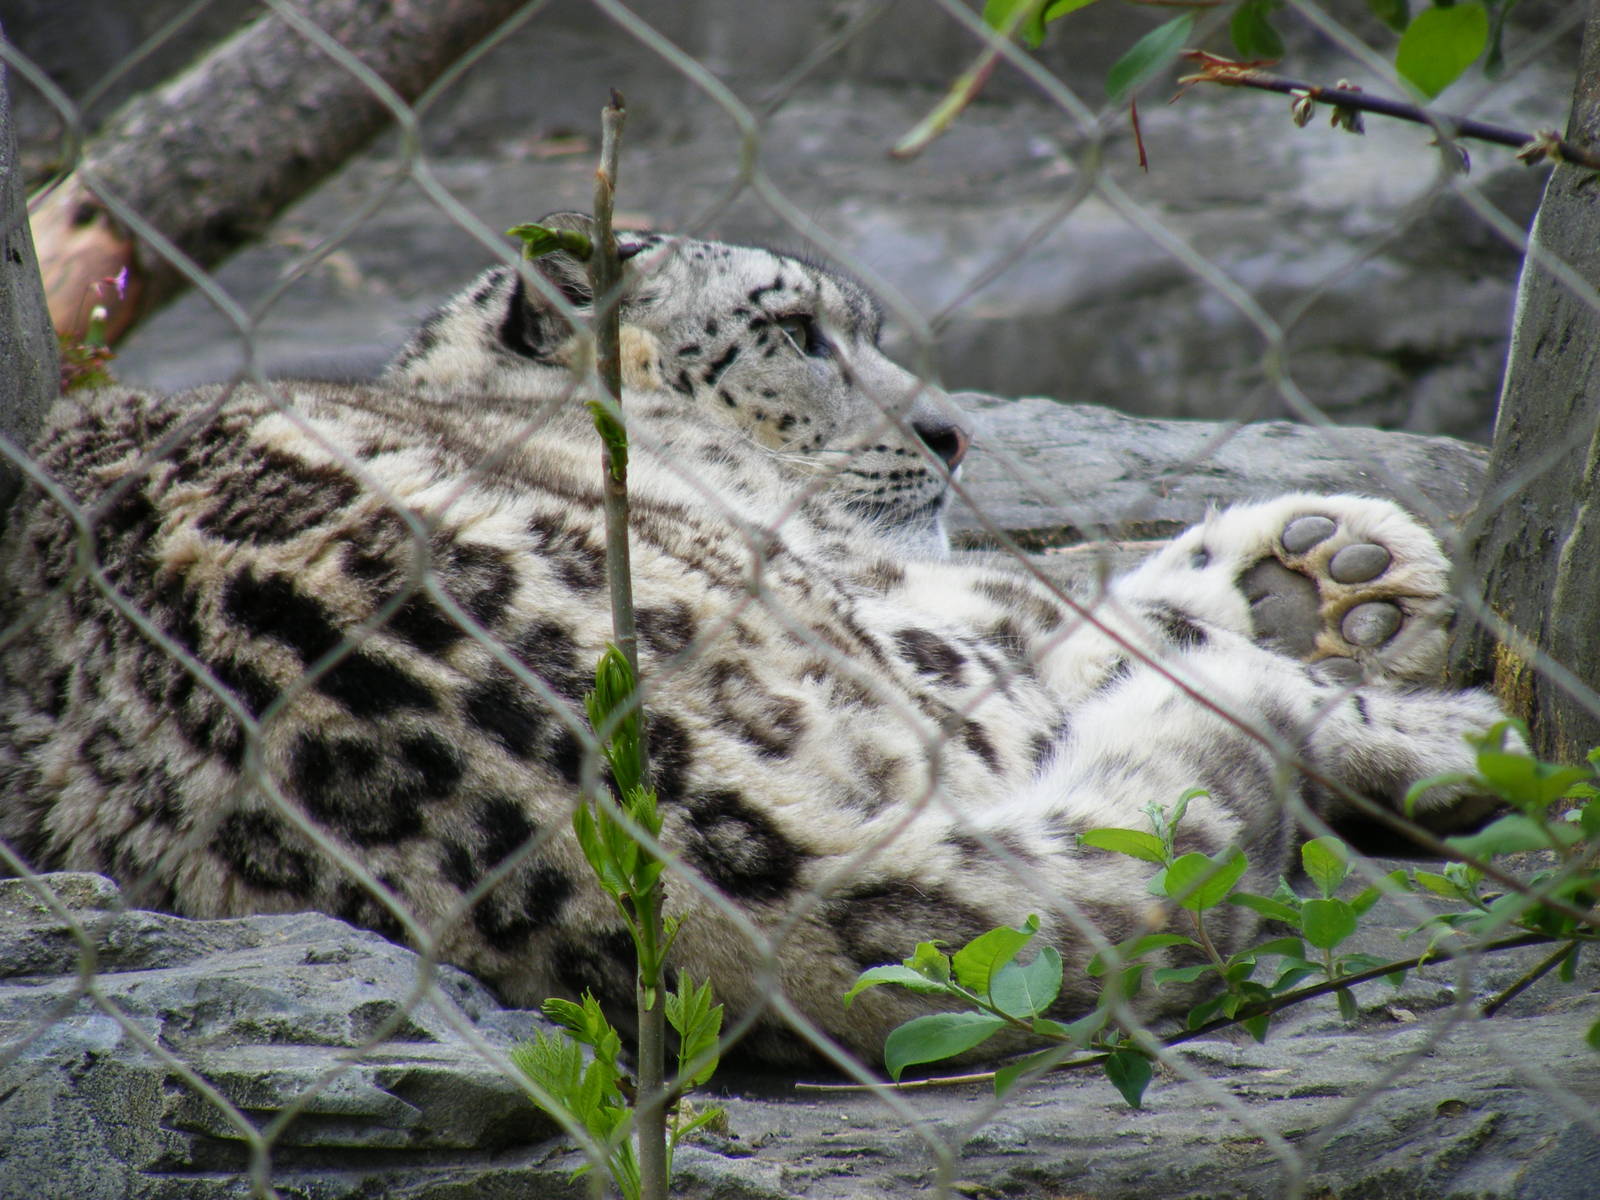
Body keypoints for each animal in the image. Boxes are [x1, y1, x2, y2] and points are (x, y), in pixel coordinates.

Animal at [0, 213, 1507, 1068]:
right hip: (897, 642)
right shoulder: (890, 573)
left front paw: (1322, 566)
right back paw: (1428, 697)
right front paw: (1349, 580)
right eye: (795, 332)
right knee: (1141, 671)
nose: (953, 433)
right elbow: (1092, 586)